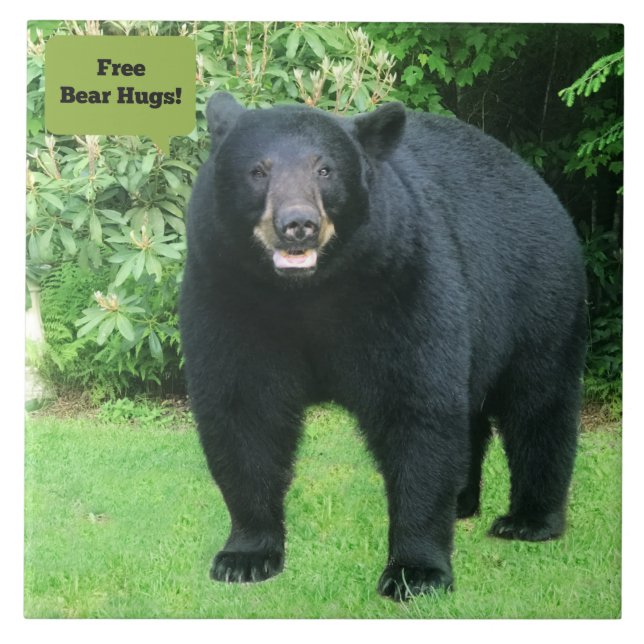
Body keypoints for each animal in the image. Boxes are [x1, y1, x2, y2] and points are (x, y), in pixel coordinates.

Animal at [179, 91, 587, 602]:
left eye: (325, 169)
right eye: (258, 169)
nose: (298, 224)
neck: (305, 294)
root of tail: (533, 177)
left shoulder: (401, 279)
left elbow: (415, 410)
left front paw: (415, 571)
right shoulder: (227, 293)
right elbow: (244, 411)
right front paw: (246, 555)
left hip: (536, 293)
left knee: (538, 401)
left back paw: (529, 520)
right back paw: (462, 501)